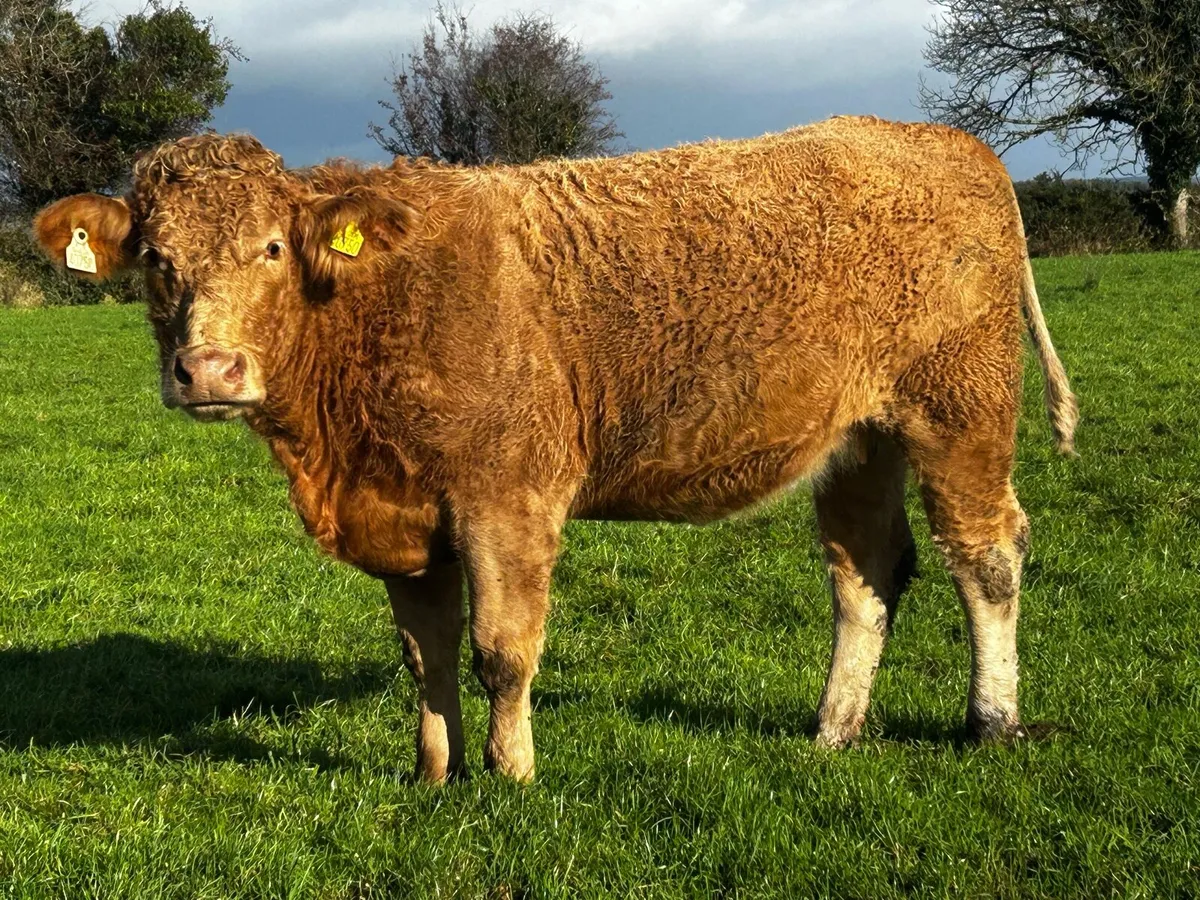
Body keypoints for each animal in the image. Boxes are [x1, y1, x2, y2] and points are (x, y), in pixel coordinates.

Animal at [33, 116, 1077, 782]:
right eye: (158, 261)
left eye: (272, 249)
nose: (208, 369)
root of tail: (937, 137)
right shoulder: (407, 514)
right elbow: (427, 653)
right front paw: (437, 773)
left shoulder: (508, 498)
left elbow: (502, 649)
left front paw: (513, 774)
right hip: (860, 441)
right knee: (866, 572)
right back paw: (834, 731)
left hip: (961, 409)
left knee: (987, 554)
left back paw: (992, 722)